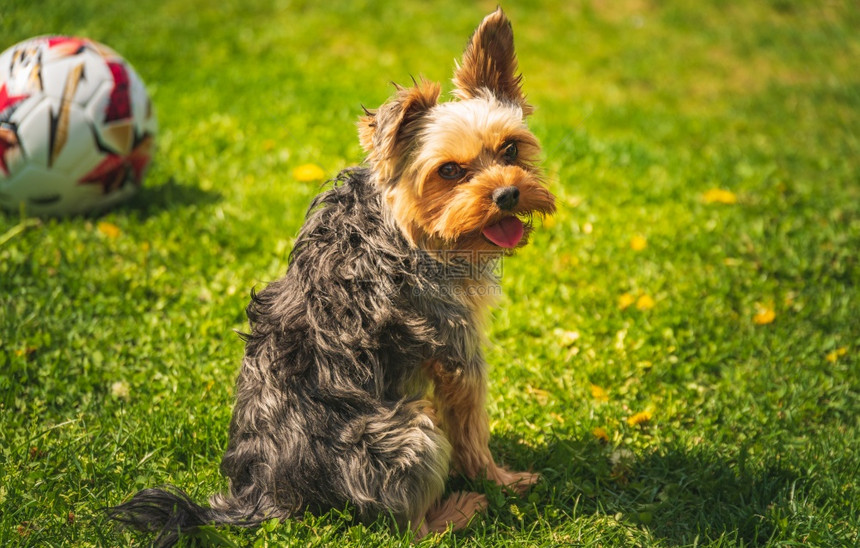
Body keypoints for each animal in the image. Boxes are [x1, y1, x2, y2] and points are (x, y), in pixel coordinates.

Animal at [107, 7, 556, 544]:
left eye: (511, 150)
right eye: (449, 171)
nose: (508, 194)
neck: (409, 229)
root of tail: (262, 494)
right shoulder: (457, 347)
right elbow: (472, 430)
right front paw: (501, 480)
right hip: (410, 434)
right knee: (411, 528)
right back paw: (459, 509)